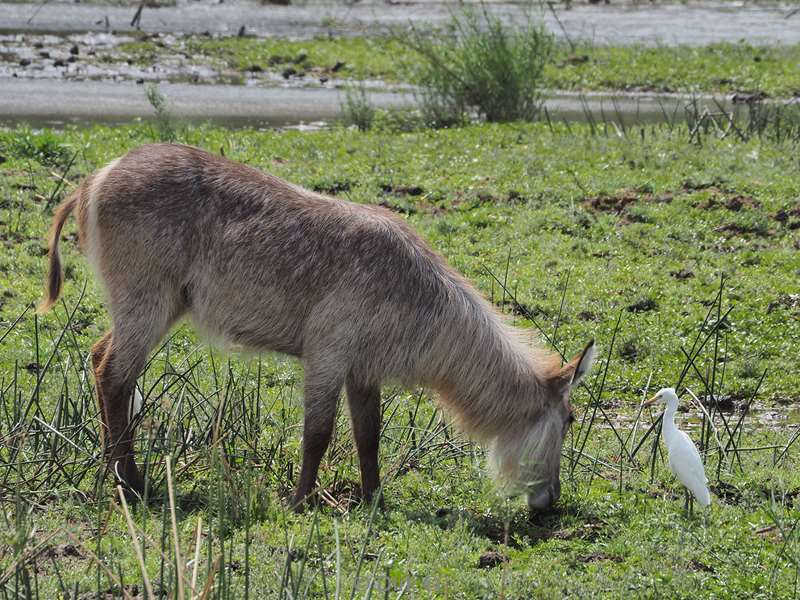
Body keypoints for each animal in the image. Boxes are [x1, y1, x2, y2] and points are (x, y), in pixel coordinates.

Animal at [40, 143, 596, 508]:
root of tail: (94, 179)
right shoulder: (327, 353)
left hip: (153, 307)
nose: (550, 502)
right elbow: (319, 433)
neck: (418, 291)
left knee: (101, 358)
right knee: (113, 375)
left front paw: (373, 500)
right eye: (570, 419)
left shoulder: (364, 371)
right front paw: (300, 501)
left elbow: (369, 437)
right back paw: (130, 483)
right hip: (147, 302)